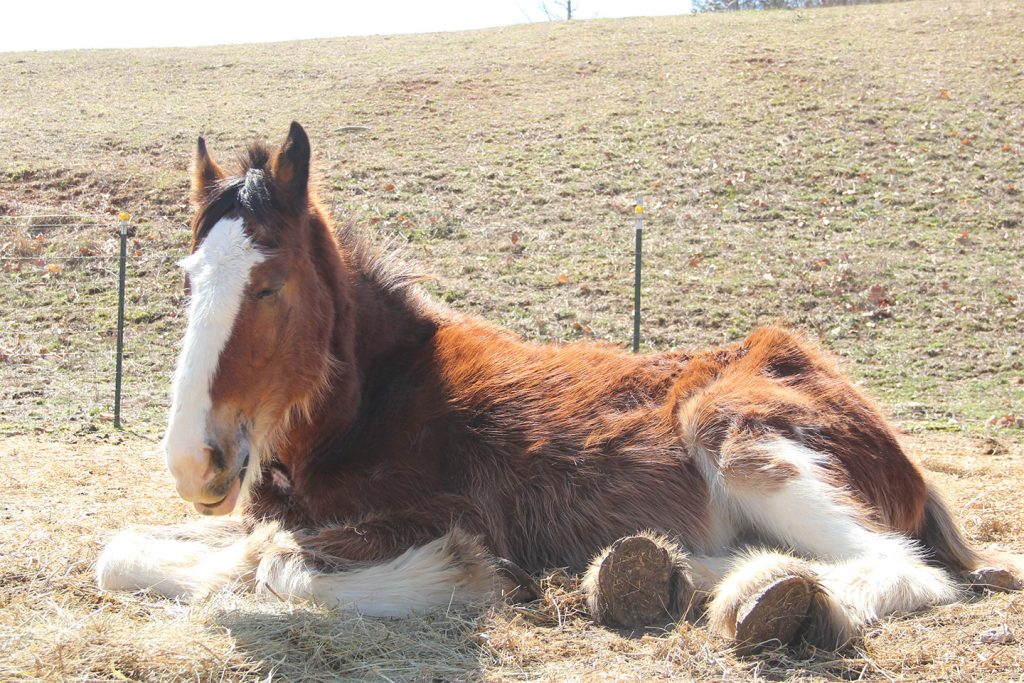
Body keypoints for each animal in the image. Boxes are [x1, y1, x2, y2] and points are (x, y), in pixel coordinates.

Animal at [97, 122, 1020, 653]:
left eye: (268, 285)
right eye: (188, 279)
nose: (192, 463)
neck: (373, 402)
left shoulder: (413, 515)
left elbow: (279, 568)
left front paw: (465, 574)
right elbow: (125, 554)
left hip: (737, 432)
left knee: (903, 566)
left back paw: (763, 600)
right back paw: (660, 574)